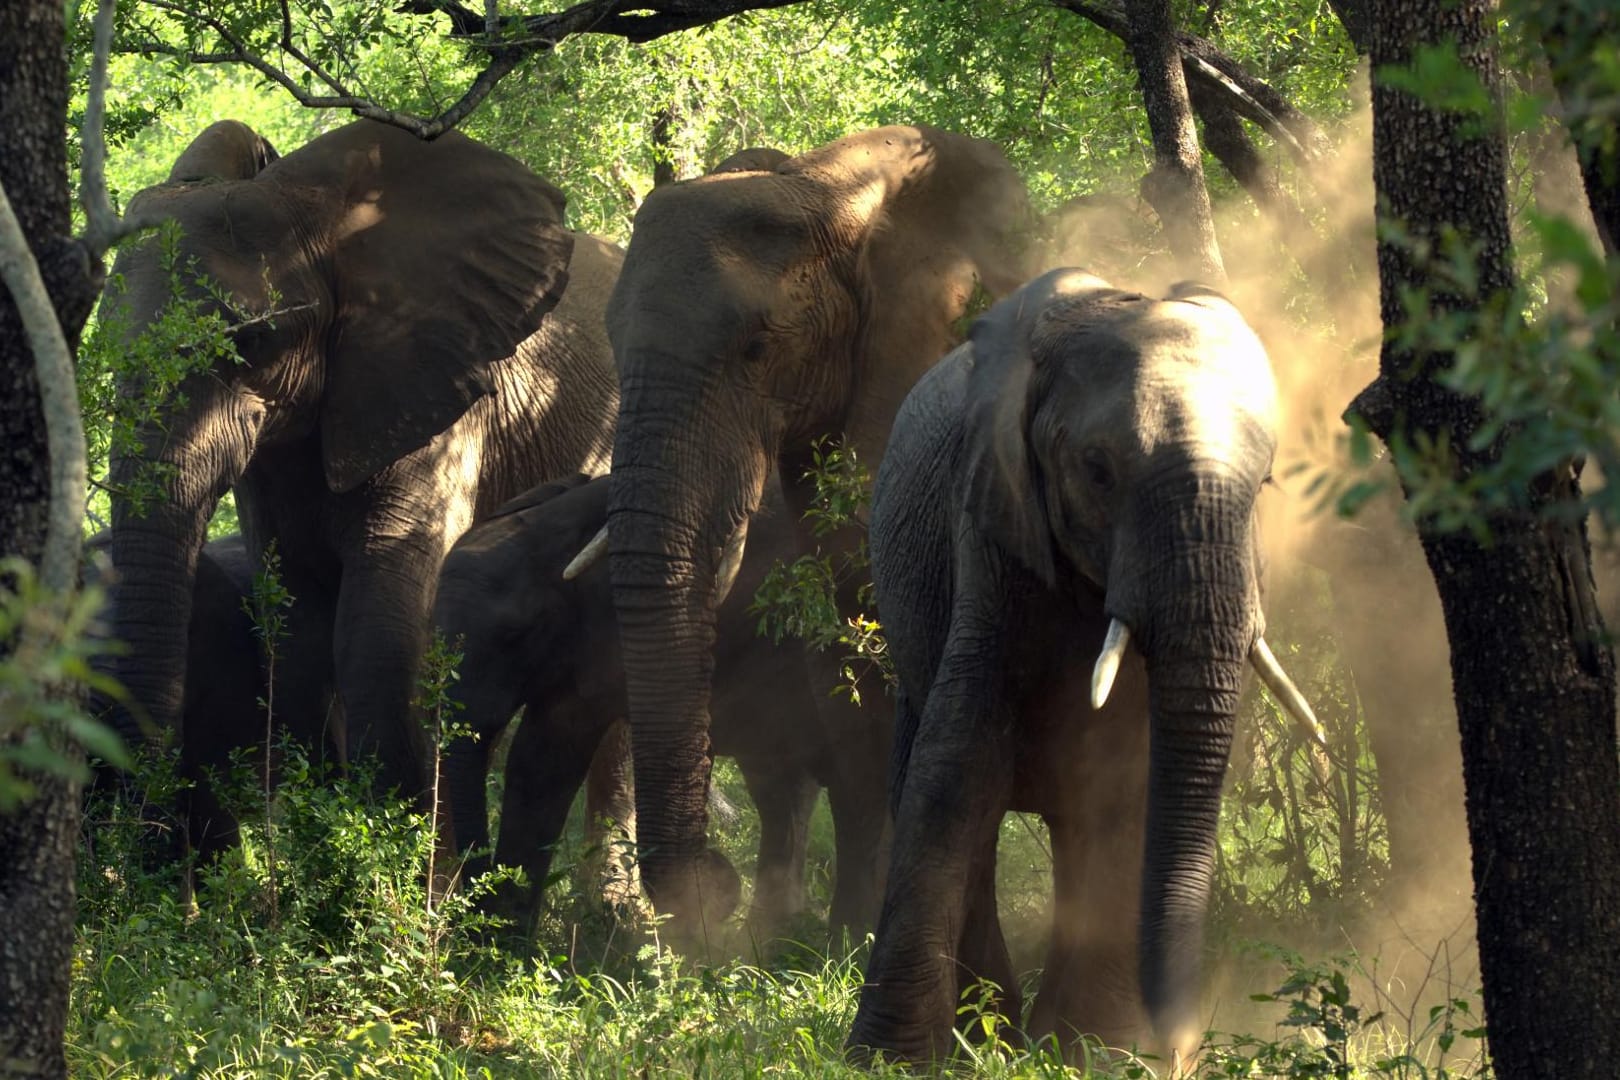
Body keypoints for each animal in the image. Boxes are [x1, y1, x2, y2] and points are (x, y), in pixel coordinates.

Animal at [430, 469, 887, 939]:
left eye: (516, 634)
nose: (471, 911)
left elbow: (551, 751)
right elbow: (538, 764)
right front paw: (503, 942)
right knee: (782, 786)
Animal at [579, 122, 1036, 939]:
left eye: (758, 349)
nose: (711, 885)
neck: (828, 186)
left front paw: (857, 939)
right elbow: (848, 676)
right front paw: (845, 941)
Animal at [842, 268, 1321, 1062]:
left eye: (1266, 485)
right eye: (1097, 472)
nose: (1182, 1046)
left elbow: (1126, 780)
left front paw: (1098, 1052)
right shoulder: (989, 525)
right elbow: (957, 764)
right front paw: (891, 1060)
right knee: (929, 776)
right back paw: (995, 1027)